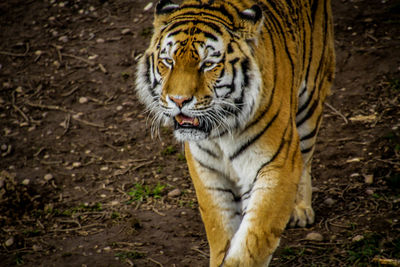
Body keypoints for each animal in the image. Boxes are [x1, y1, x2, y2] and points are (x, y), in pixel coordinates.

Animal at [135, 0, 334, 266]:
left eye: (208, 64)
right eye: (168, 62)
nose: (178, 100)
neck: (220, 131)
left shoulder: (275, 166)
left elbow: (253, 240)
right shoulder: (207, 171)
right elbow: (220, 230)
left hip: (309, 101)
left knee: (305, 157)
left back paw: (300, 209)